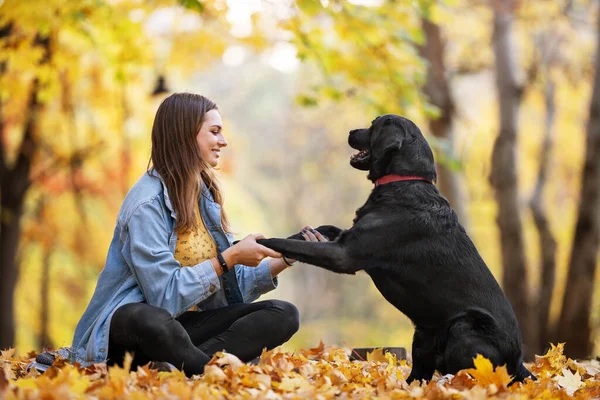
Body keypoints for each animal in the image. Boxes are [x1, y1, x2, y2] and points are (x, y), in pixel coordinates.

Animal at [258, 114, 536, 382]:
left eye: (374, 124)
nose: (351, 132)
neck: (403, 180)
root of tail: (519, 363)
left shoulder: (344, 254)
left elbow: (286, 243)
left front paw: (259, 244)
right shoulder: (348, 237)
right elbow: (319, 229)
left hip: (464, 327)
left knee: (476, 375)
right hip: (423, 335)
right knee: (420, 376)